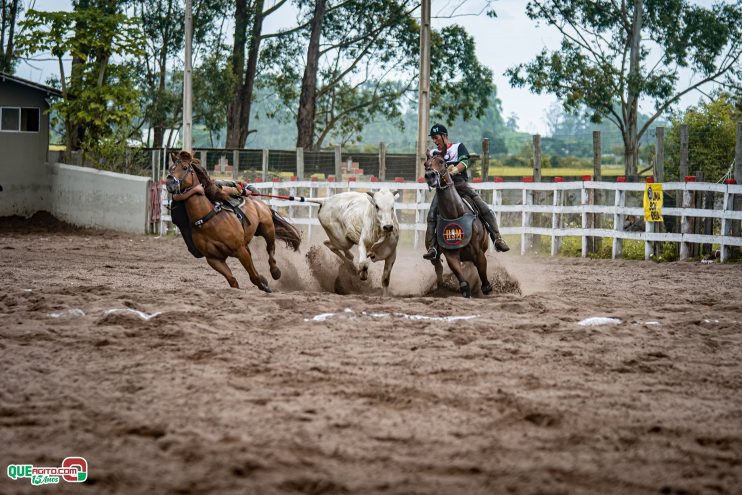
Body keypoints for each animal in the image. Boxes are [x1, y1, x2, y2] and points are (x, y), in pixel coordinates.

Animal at [166, 149, 300, 292]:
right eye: (171, 168)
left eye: (185, 167)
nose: (169, 182)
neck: (208, 219)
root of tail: (257, 200)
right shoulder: (214, 259)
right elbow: (233, 281)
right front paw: (261, 281)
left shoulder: (239, 250)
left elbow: (253, 276)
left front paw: (264, 285)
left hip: (267, 229)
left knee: (270, 249)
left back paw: (275, 272)